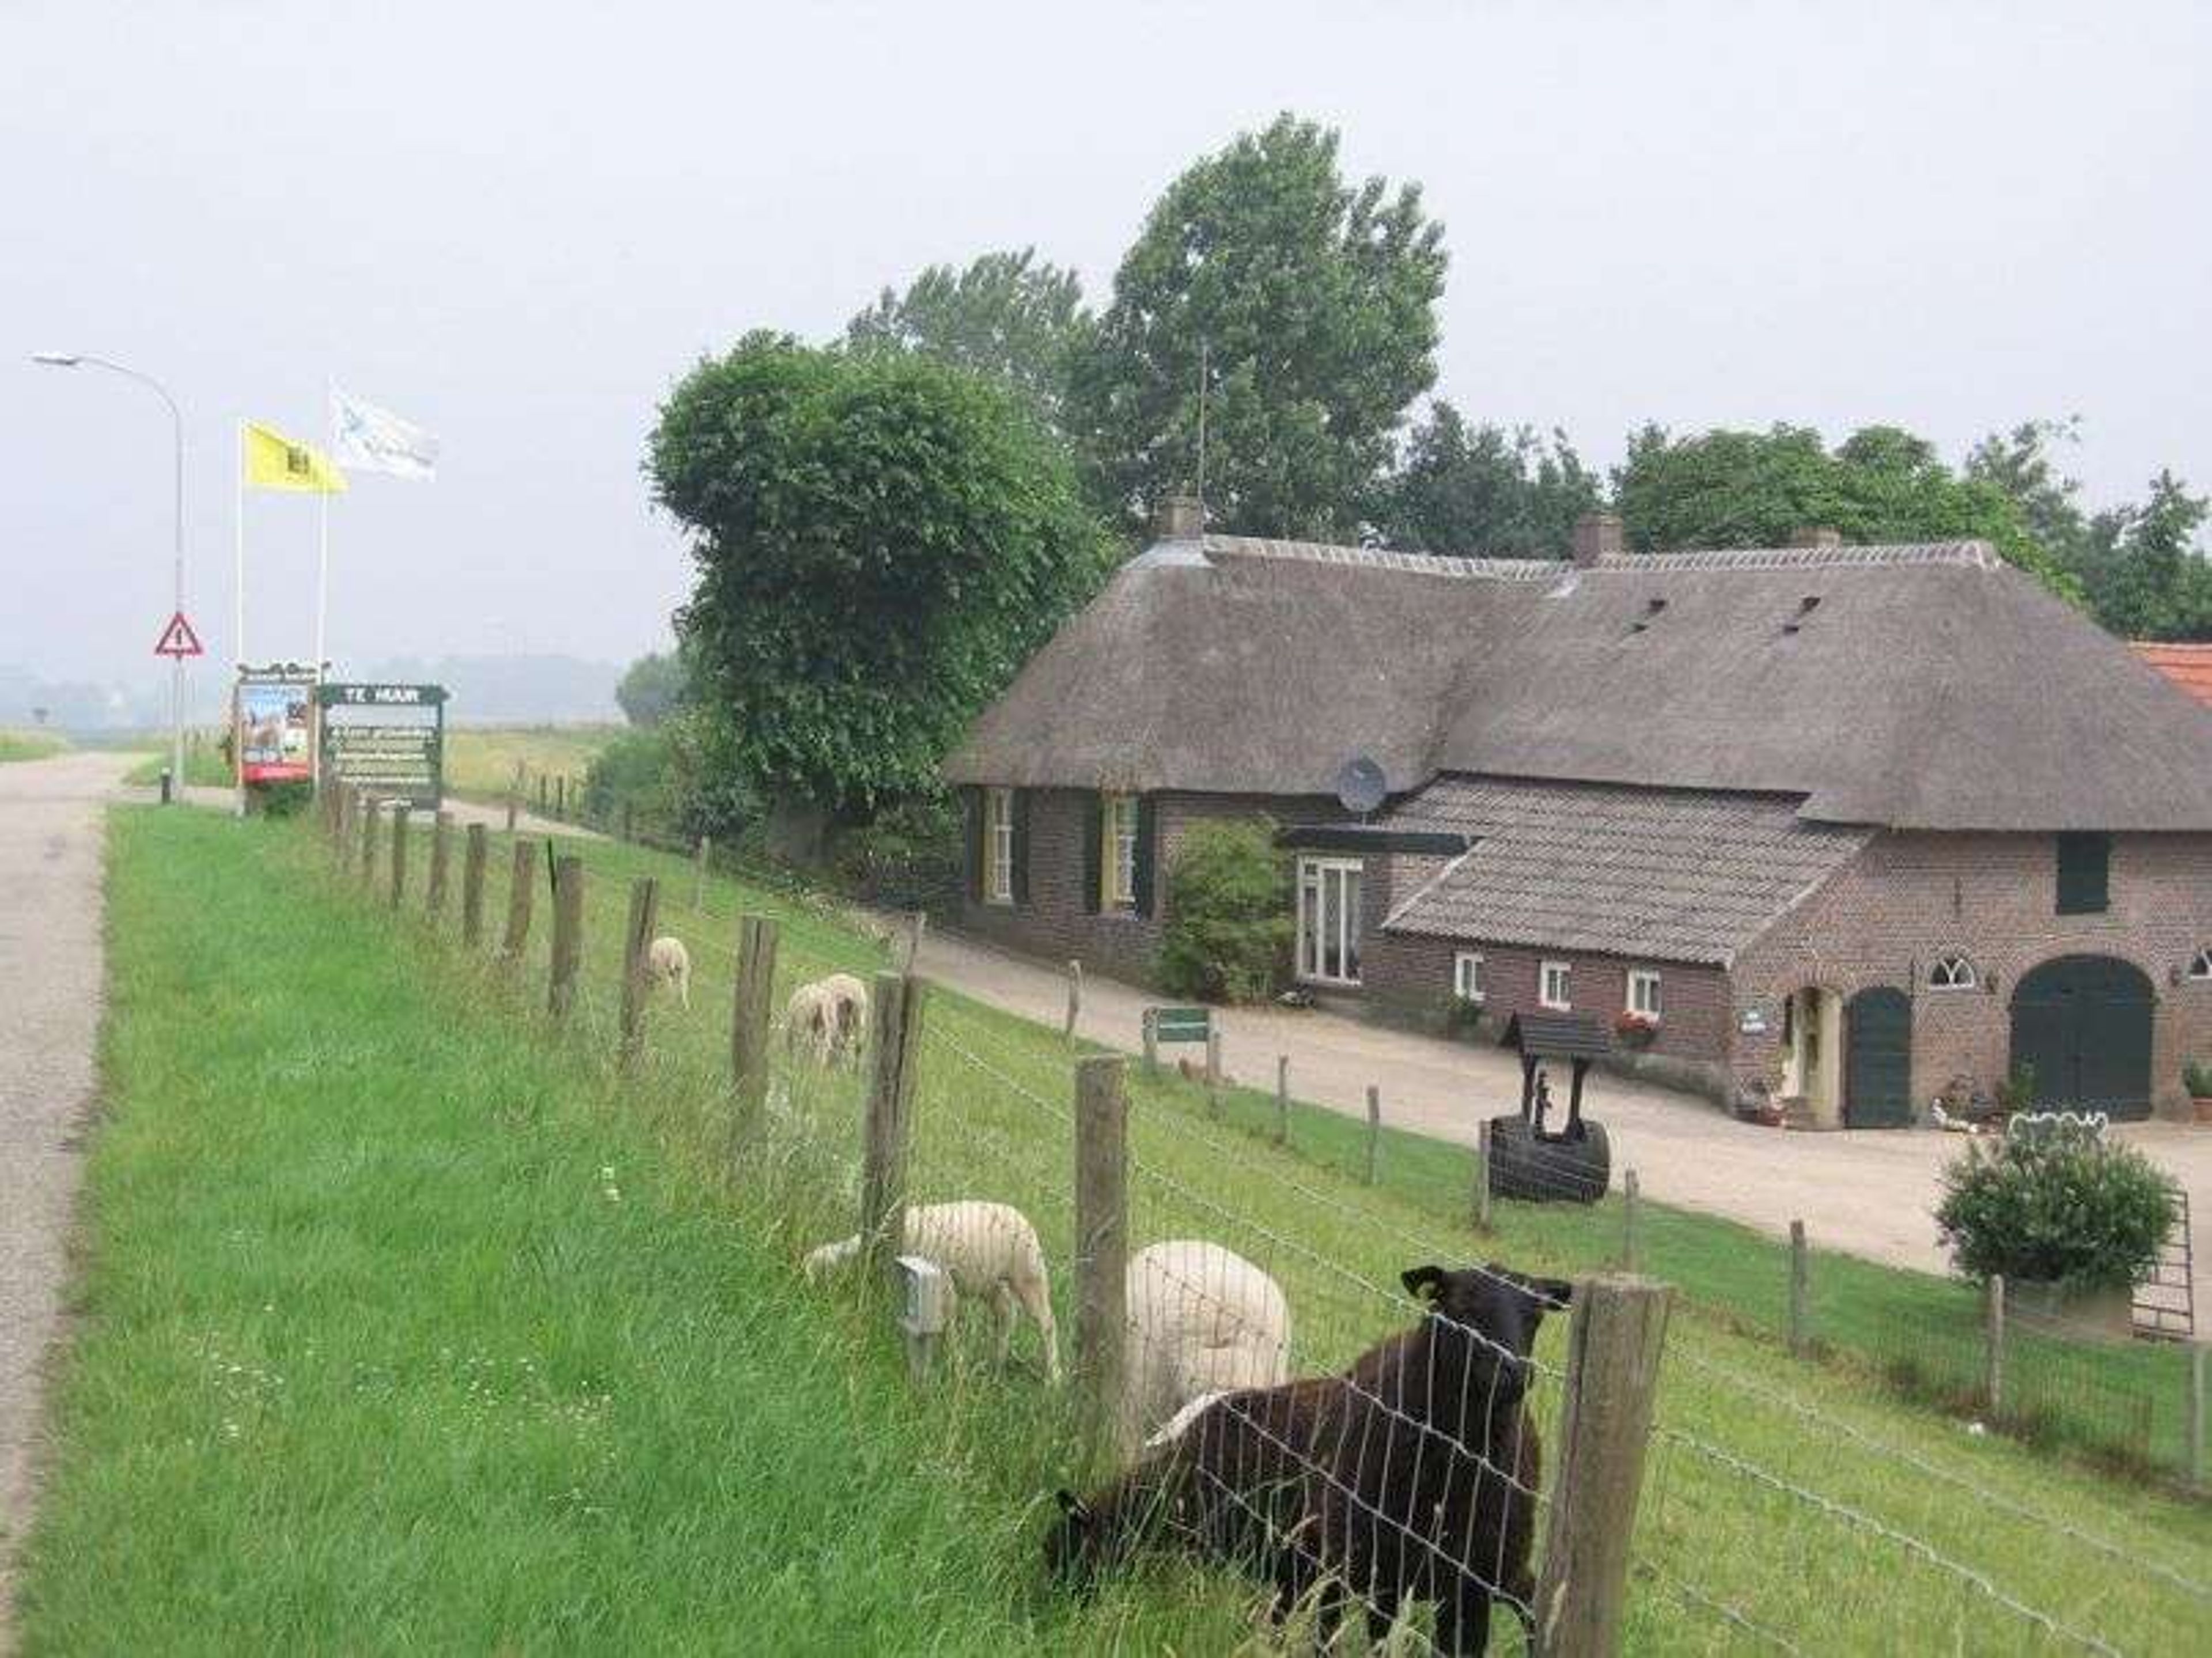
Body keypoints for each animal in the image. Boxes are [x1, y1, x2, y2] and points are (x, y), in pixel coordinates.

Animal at [646, 937, 685, 1012]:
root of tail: (674, 949)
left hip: (664, 969)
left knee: (670, 986)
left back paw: (666, 1005)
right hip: (683, 969)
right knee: (683, 987)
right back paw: (684, 1007)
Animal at [805, 1193, 1062, 1388]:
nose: (807, 1297)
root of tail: (1019, 1215)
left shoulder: (944, 1282)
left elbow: (948, 1326)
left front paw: (956, 1366)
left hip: (1029, 1275)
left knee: (1046, 1323)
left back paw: (1054, 1375)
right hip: (993, 1284)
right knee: (1006, 1317)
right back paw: (996, 1363)